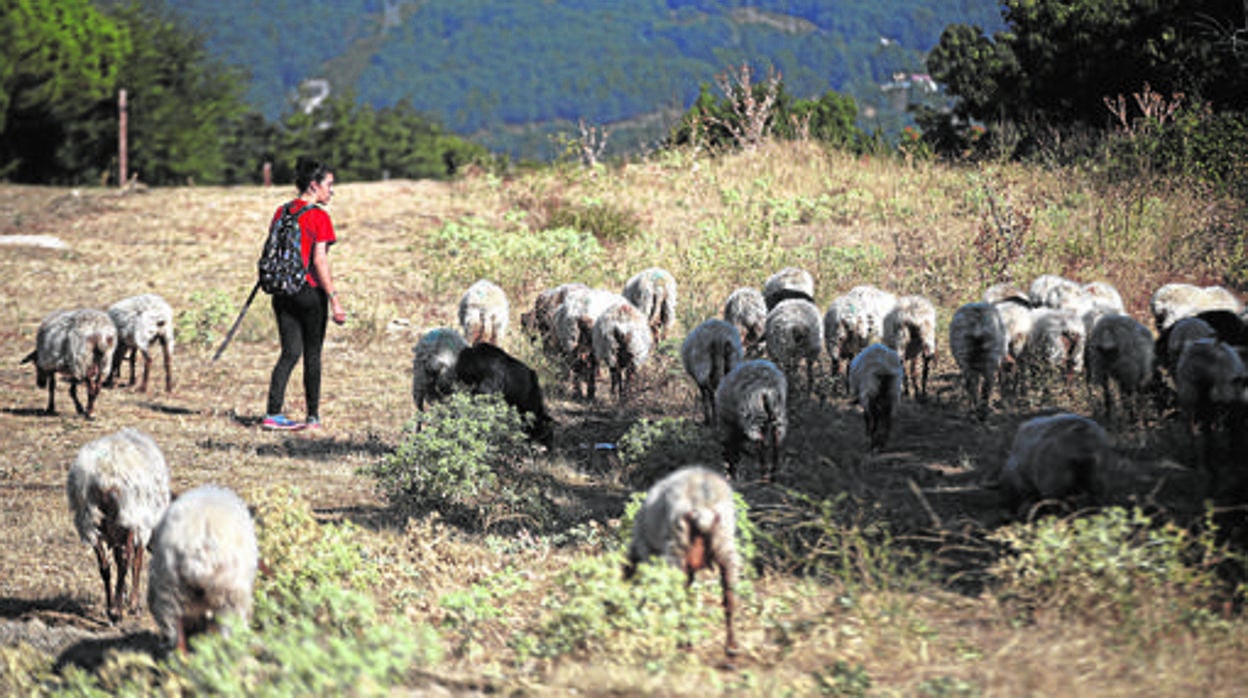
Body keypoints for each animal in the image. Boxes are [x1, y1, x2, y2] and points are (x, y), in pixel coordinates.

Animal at [66, 429, 170, 624]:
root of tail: (104, 477)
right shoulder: (140, 528)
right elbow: (136, 562)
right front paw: (134, 604)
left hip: (90, 521)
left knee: (104, 566)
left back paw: (111, 608)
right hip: (127, 517)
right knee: (125, 561)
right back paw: (118, 612)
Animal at [624, 466, 738, 659]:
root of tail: (703, 505)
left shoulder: (647, 553)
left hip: (677, 547)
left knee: (678, 598)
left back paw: (683, 642)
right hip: (725, 544)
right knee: (730, 599)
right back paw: (731, 646)